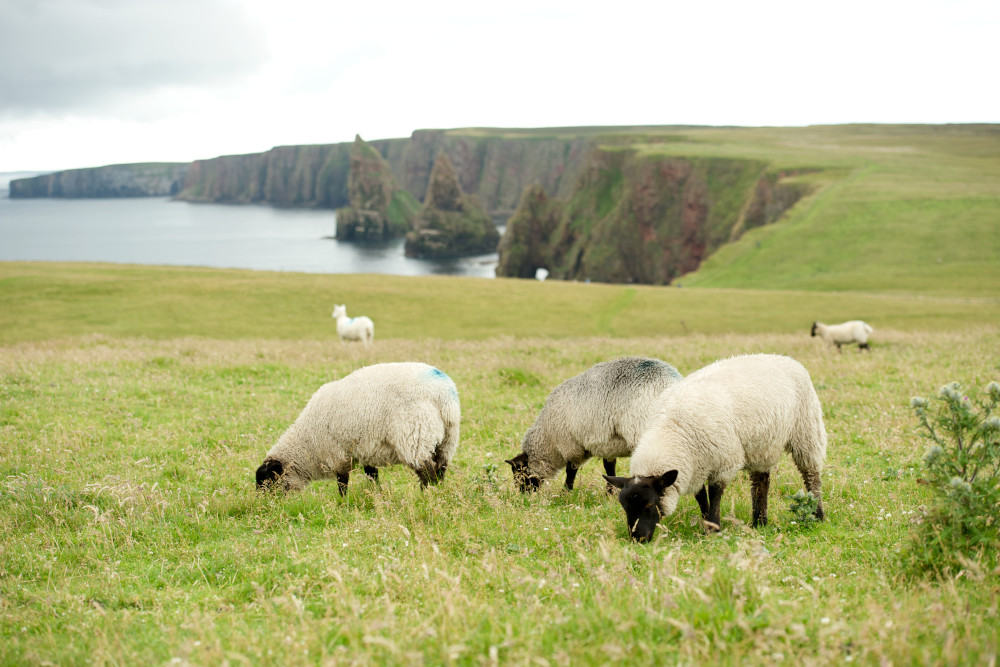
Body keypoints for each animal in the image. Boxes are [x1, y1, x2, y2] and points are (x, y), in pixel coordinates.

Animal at [256, 362, 462, 494]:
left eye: (268, 483)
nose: (266, 507)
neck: (307, 443)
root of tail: (443, 393)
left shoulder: (338, 454)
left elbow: (342, 482)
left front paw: (342, 502)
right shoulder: (366, 448)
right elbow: (372, 475)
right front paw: (376, 493)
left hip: (415, 437)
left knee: (427, 473)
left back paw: (426, 497)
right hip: (448, 440)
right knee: (440, 470)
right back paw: (438, 494)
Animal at [504, 358, 684, 494]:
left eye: (518, 473)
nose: (523, 495)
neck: (549, 440)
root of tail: (671, 381)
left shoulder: (571, 445)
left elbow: (571, 471)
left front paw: (566, 492)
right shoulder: (607, 444)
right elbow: (609, 468)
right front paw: (610, 492)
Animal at [600, 354, 828, 544]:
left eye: (649, 505)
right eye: (624, 506)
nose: (638, 539)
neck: (673, 428)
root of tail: (783, 358)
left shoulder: (723, 461)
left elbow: (715, 493)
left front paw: (714, 527)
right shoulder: (695, 464)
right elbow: (701, 496)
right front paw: (706, 521)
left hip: (806, 431)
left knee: (811, 475)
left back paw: (817, 514)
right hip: (761, 445)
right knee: (761, 481)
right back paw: (759, 521)